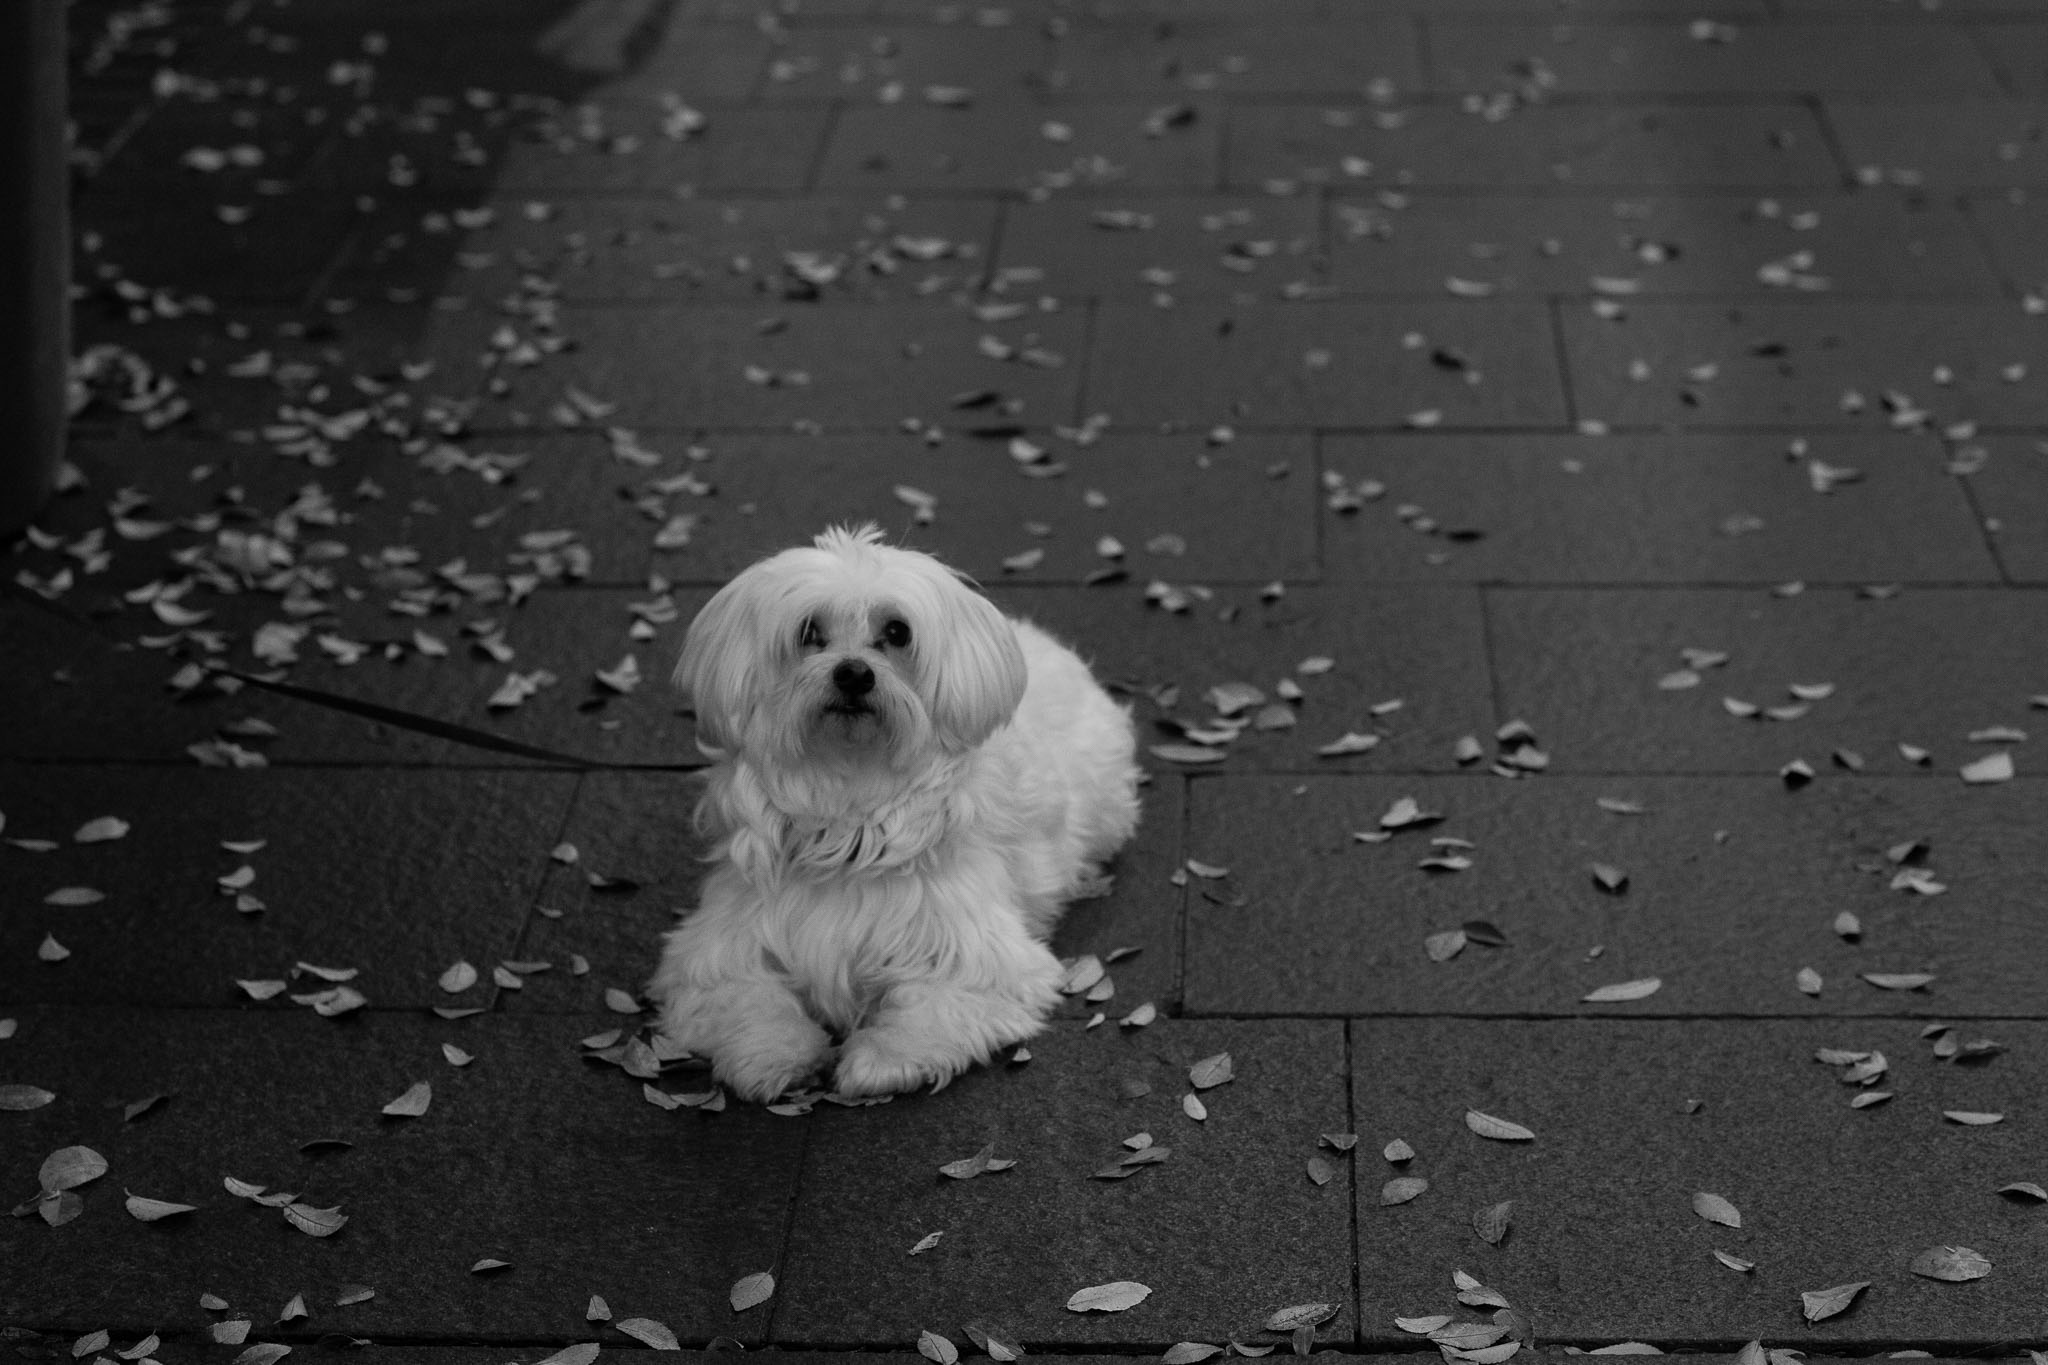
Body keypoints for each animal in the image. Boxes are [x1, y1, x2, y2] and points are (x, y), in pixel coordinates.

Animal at [648, 524, 1141, 1101]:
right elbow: (747, 1004)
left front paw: (882, 1060)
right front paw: (777, 1055)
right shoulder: (715, 953)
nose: (854, 674)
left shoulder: (983, 959)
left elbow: (935, 1009)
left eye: (897, 632)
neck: (852, 802)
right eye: (810, 631)